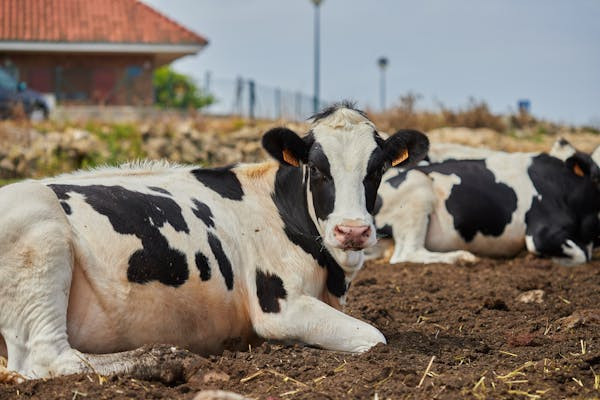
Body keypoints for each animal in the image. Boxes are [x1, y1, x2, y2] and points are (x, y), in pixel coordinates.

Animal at [0, 104, 432, 382]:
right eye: (318, 168)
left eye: (377, 169)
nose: (352, 231)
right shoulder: (279, 307)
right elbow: (375, 337)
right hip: (40, 240)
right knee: (47, 359)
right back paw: (165, 359)